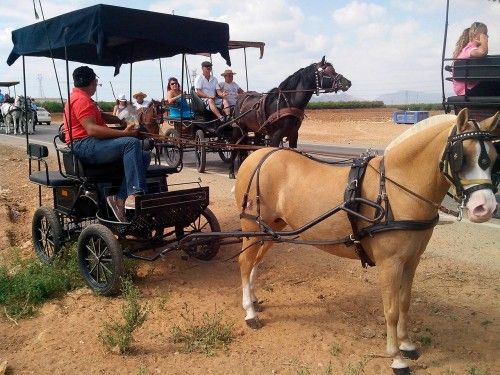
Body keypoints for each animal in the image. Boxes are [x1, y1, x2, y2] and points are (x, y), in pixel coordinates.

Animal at [234, 107, 500, 374]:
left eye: (494, 156)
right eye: (460, 155)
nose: (485, 208)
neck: (395, 190)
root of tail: (258, 156)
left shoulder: (412, 260)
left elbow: (405, 302)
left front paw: (407, 344)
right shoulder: (390, 263)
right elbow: (391, 310)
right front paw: (396, 358)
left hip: (272, 230)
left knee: (256, 262)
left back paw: (254, 300)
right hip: (252, 226)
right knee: (245, 263)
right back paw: (250, 313)